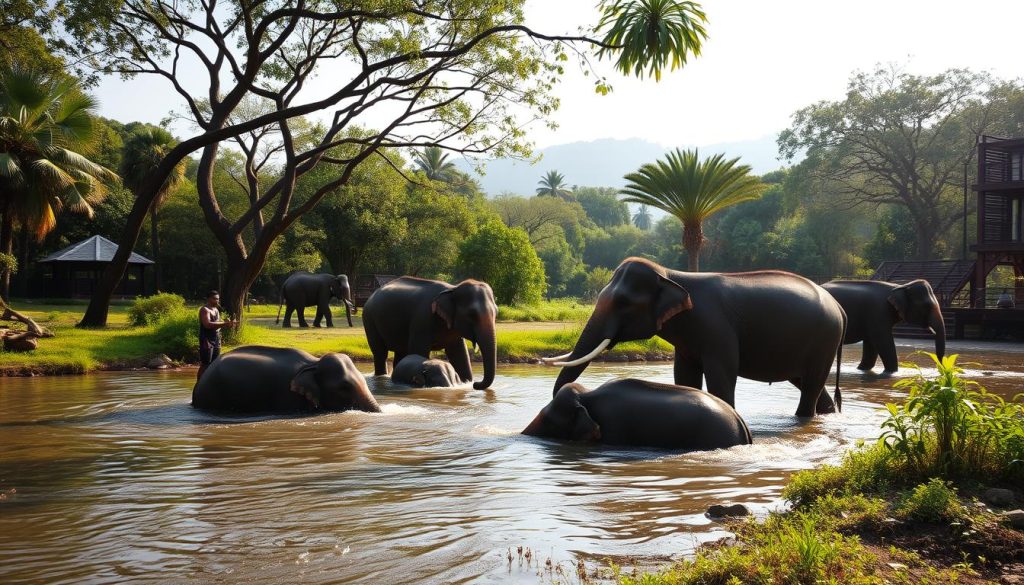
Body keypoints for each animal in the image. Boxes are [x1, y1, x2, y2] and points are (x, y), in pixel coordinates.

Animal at [362, 277, 497, 390]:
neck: (452, 289)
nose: (476, 384)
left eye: (496, 312)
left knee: (400, 354)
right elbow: (418, 350)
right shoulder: (422, 320)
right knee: (380, 353)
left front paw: (465, 382)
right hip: (369, 320)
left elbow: (459, 354)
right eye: (472, 314)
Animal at [543, 257, 846, 417]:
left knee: (811, 384)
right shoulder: (687, 341)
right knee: (808, 384)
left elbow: (722, 376)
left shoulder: (717, 329)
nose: (568, 396)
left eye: (623, 303)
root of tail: (839, 307)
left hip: (824, 341)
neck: (671, 276)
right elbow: (685, 376)